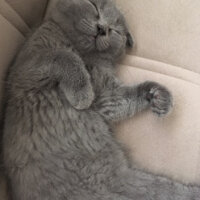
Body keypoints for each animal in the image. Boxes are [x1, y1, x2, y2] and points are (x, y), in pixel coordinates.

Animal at [2, 0, 200, 199]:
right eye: (94, 5)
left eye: (115, 30)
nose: (102, 28)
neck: (83, 53)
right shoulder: (26, 69)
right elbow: (64, 56)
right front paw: (83, 94)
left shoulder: (105, 93)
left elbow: (117, 100)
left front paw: (158, 94)